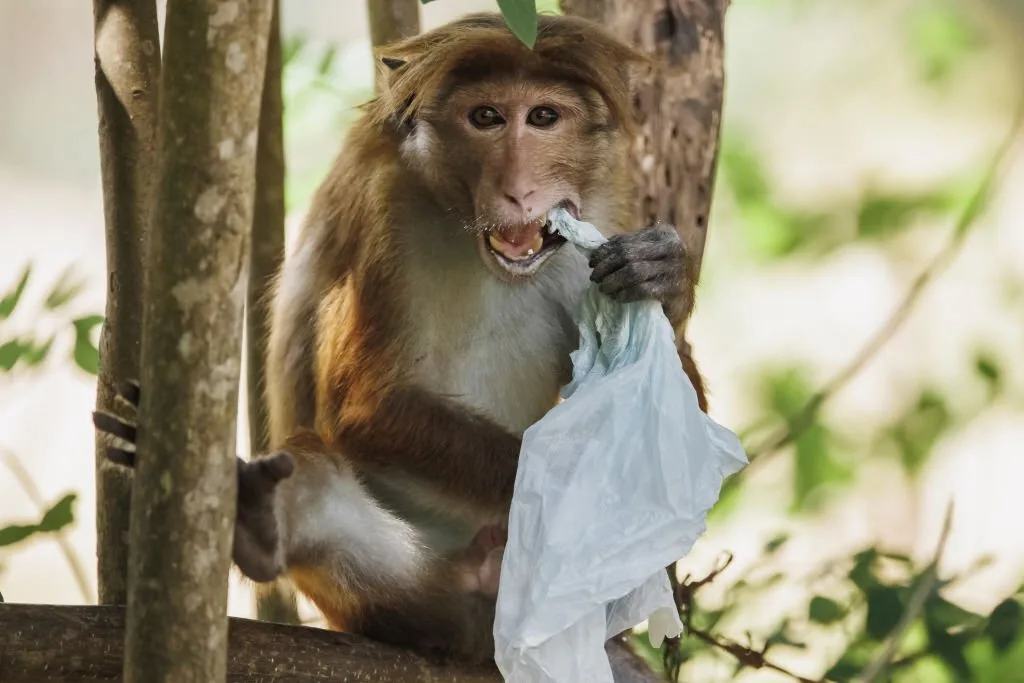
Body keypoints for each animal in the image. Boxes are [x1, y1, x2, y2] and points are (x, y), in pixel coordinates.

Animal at [94, 12, 704, 667]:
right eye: (486, 117)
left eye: (543, 117)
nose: (517, 189)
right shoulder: (387, 212)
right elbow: (371, 408)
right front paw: (582, 486)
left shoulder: (607, 213)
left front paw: (662, 273)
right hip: (396, 593)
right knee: (326, 489)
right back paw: (252, 515)